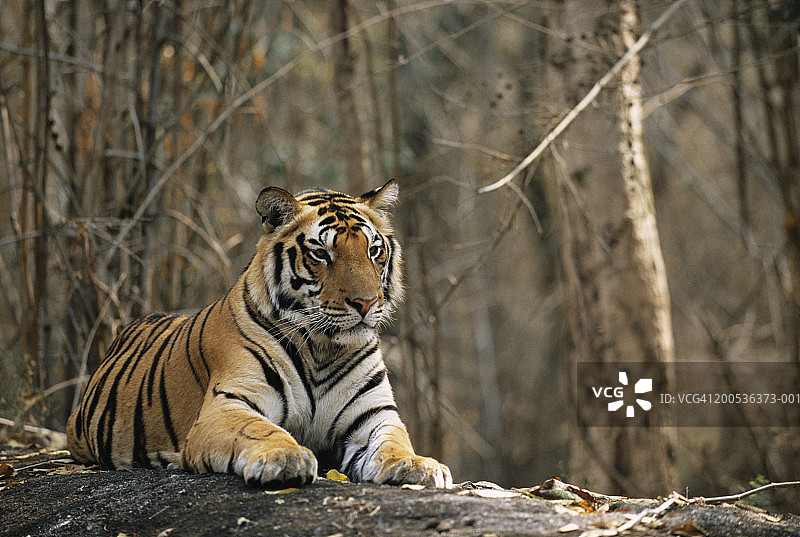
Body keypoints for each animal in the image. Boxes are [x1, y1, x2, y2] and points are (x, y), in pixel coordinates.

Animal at [66, 180, 452, 488]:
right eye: (321, 253)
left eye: (374, 250)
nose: (367, 302)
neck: (324, 348)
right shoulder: (228, 402)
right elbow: (260, 429)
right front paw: (286, 457)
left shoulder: (374, 414)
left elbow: (394, 440)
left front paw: (417, 464)